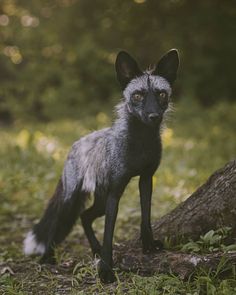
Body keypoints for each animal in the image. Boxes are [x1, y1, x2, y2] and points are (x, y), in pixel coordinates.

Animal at [23, 49, 179, 284]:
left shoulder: (145, 179)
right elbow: (108, 233)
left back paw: (94, 250)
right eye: (137, 96)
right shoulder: (116, 191)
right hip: (74, 199)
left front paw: (148, 246)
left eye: (161, 94)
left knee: (84, 216)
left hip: (100, 200)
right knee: (58, 222)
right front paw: (106, 271)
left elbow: (146, 218)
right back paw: (48, 257)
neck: (140, 145)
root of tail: (75, 145)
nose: (153, 116)